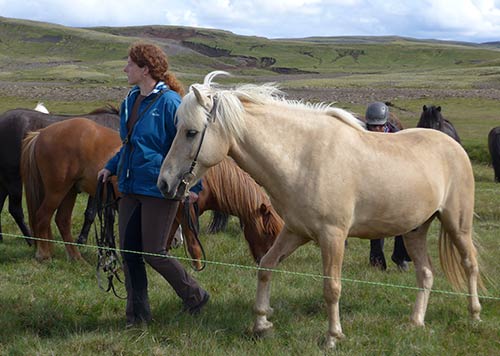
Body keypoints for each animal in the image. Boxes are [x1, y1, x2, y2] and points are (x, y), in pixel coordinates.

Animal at [0, 105, 119, 245]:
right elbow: (93, 213)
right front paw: (82, 240)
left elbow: (107, 215)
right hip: (13, 179)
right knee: (16, 209)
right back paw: (32, 240)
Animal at [158, 71, 482, 350]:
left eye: (191, 132)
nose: (164, 183)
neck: (302, 157)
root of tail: (452, 145)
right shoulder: (294, 232)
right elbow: (266, 267)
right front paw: (261, 323)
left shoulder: (333, 237)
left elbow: (332, 288)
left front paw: (332, 337)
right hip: (415, 230)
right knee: (425, 274)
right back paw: (416, 321)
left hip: (457, 225)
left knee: (469, 263)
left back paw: (474, 315)